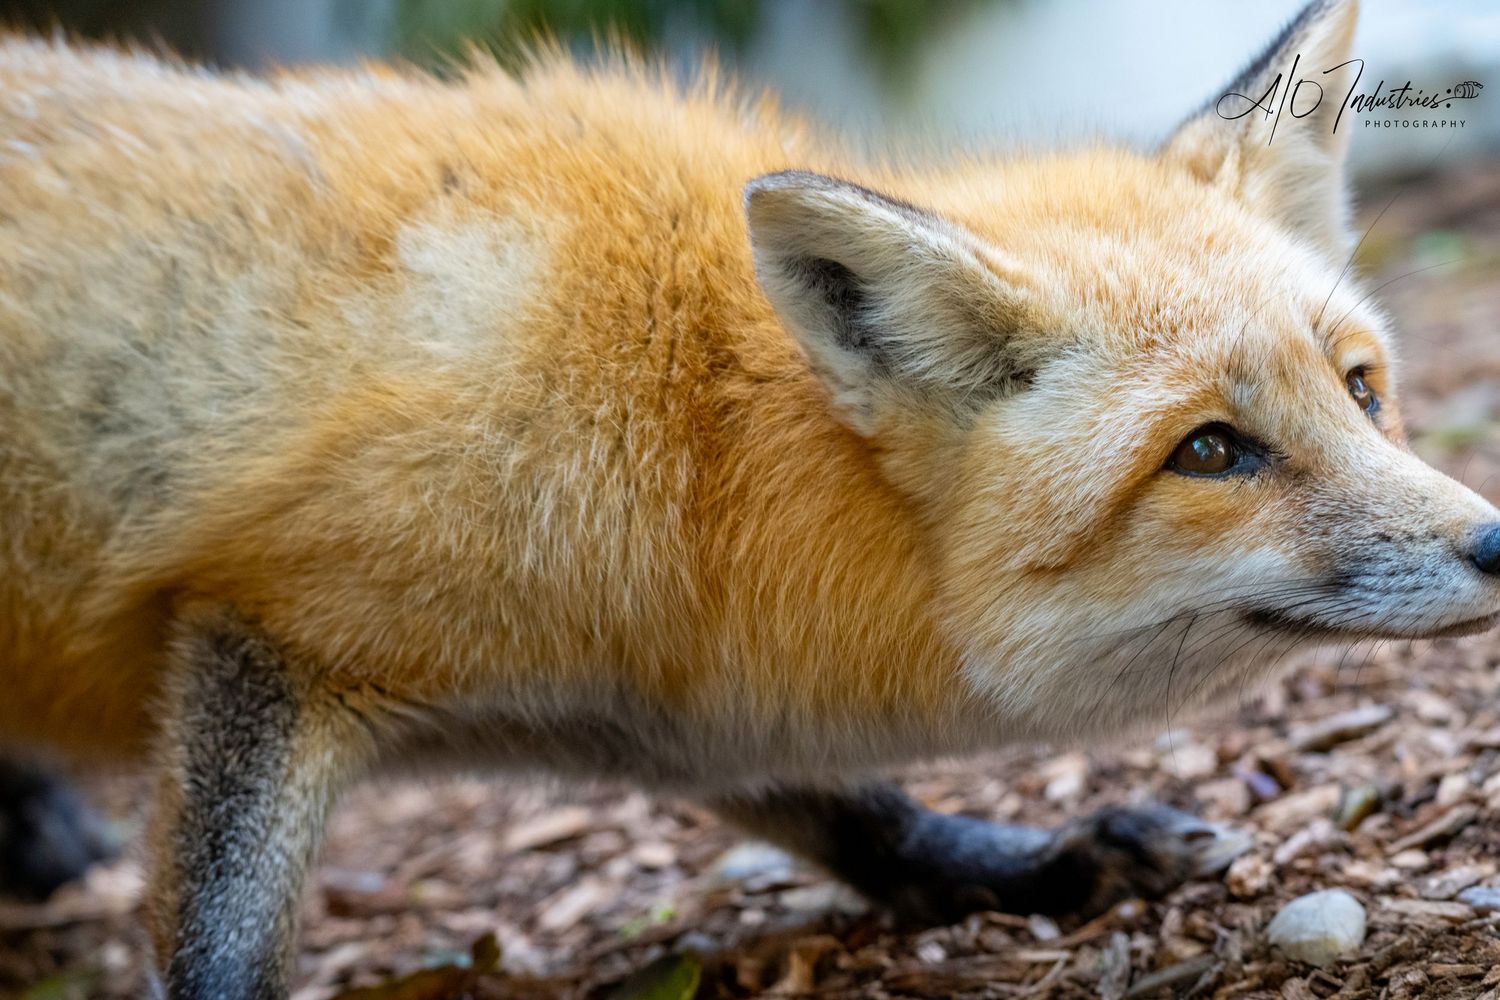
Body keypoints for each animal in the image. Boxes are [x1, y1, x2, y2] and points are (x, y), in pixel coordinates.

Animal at [2, 0, 1498, 995]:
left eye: (1361, 390)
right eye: (1210, 452)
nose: (1497, 541)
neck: (688, 431)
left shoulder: (657, 704)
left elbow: (852, 813)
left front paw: (1020, 864)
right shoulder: (265, 633)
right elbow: (221, 940)